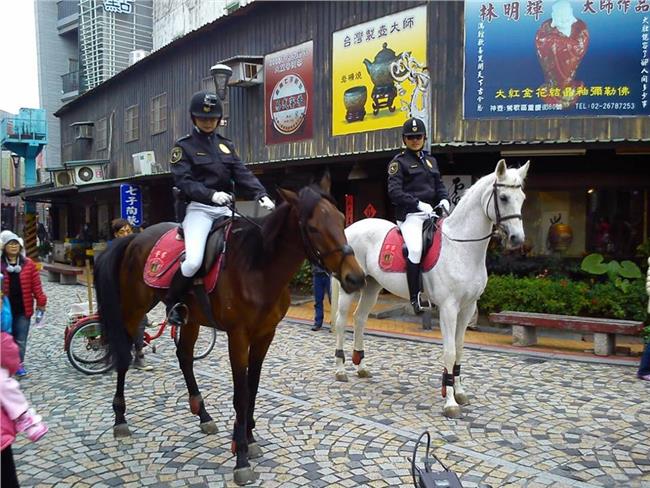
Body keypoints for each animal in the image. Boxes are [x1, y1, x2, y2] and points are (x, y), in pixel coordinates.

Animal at [93, 174, 365, 486]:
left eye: (342, 218)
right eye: (312, 227)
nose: (355, 278)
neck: (258, 268)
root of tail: (133, 237)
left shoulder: (265, 335)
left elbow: (253, 388)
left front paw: (248, 437)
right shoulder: (238, 337)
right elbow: (241, 394)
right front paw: (241, 456)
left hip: (191, 320)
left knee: (184, 357)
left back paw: (203, 415)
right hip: (133, 309)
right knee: (124, 357)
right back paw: (120, 419)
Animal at [330, 160, 529, 418]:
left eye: (522, 197)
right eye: (503, 197)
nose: (517, 239)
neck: (461, 247)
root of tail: (351, 228)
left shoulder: (468, 308)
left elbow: (460, 349)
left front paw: (459, 392)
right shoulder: (448, 308)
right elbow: (449, 351)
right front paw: (450, 402)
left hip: (372, 287)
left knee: (360, 319)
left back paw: (361, 366)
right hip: (349, 289)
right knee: (342, 321)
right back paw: (341, 369)